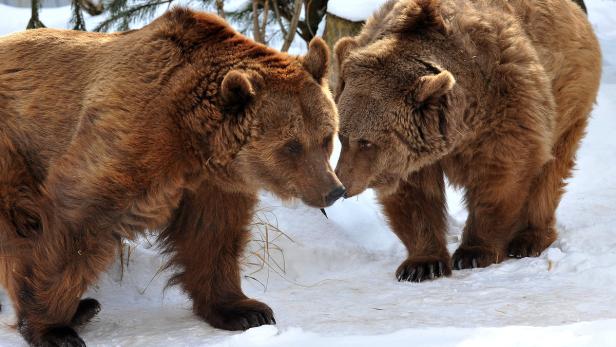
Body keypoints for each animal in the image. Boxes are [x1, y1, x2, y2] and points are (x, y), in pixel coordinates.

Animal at [0, 8, 344, 347]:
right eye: (292, 145)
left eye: (326, 137)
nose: (333, 190)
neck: (193, 141)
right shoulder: (133, 138)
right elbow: (78, 224)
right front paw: (52, 329)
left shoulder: (211, 185)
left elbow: (212, 236)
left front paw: (245, 310)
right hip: (14, 151)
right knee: (19, 224)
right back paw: (79, 309)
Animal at [332, 0, 600, 282]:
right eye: (342, 136)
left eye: (366, 142)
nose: (342, 185)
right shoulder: (411, 152)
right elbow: (415, 196)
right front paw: (422, 264)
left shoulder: (503, 104)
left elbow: (501, 173)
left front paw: (473, 252)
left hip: (566, 100)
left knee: (549, 172)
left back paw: (529, 239)